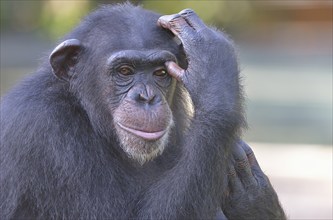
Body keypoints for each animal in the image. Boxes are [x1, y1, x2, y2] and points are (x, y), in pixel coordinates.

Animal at [0, 3, 286, 220]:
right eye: (125, 71)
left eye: (160, 73)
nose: (146, 97)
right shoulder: (44, 131)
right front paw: (214, 67)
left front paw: (254, 201)